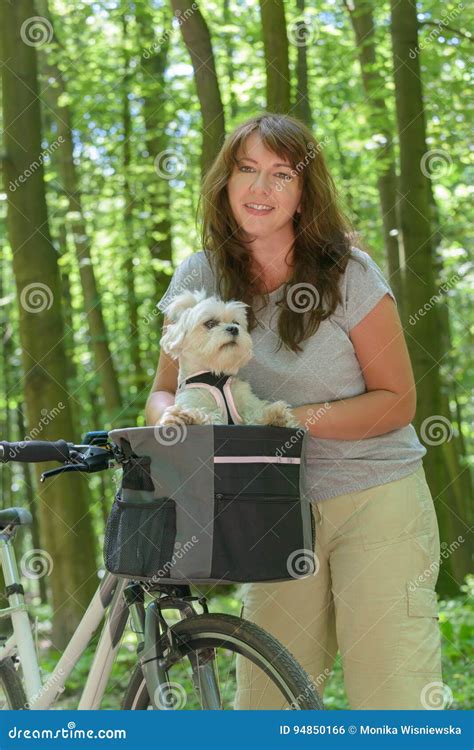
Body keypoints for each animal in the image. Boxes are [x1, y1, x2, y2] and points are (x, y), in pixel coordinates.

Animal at [159, 290, 300, 428]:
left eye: (236, 323)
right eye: (210, 323)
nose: (233, 329)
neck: (214, 375)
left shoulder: (243, 400)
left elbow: (254, 412)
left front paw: (276, 415)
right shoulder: (195, 398)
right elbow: (207, 415)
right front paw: (186, 416)